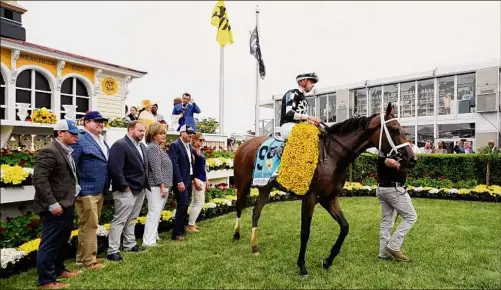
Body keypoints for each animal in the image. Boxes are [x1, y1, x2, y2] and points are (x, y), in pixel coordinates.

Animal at [232, 102, 416, 276]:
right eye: (394, 129)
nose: (412, 159)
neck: (332, 155)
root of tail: (244, 144)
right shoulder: (310, 197)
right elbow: (305, 232)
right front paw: (302, 266)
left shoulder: (328, 197)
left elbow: (345, 227)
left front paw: (328, 260)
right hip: (242, 184)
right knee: (239, 207)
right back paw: (236, 234)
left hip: (265, 187)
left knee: (256, 212)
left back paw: (254, 247)